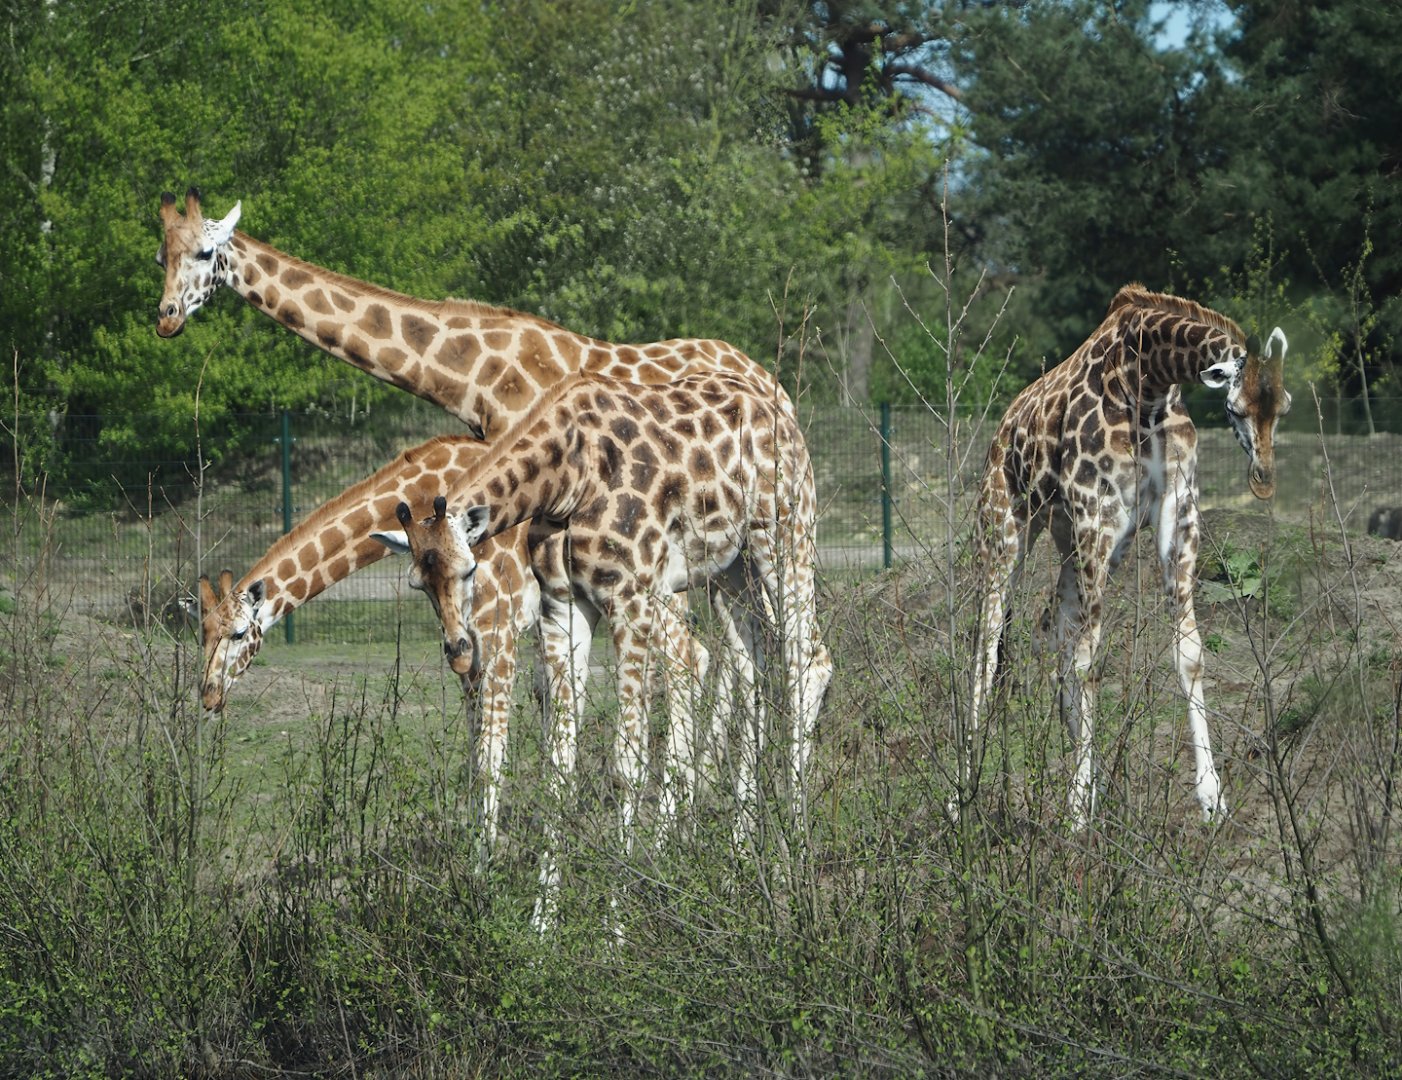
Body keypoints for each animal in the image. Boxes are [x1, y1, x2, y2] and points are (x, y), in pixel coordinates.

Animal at [969, 285, 1289, 827]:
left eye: (1282, 407)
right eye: (1236, 410)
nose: (1264, 480)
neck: (1149, 386)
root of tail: (1002, 432)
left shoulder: (1175, 514)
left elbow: (1188, 654)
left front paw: (1212, 797)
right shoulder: (1095, 512)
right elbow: (1089, 664)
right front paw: (1078, 807)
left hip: (1077, 543)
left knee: (1049, 629)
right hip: (1009, 528)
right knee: (988, 649)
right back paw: (962, 797)